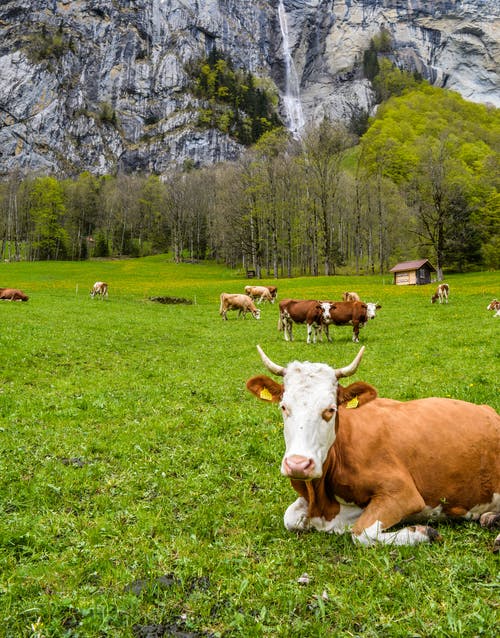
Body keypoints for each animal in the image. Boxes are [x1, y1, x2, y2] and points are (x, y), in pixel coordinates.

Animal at [246, 348, 500, 552]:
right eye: (284, 407)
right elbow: (290, 518)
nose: (298, 464)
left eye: (330, 409)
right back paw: (491, 518)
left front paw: (423, 532)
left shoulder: (402, 492)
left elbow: (362, 533)